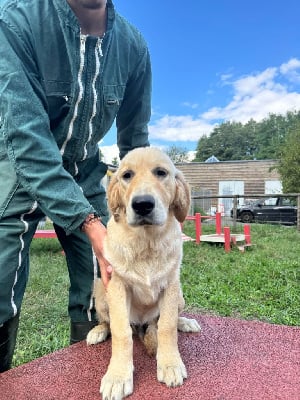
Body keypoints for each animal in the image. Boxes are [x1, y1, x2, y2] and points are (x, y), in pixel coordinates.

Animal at [86, 147, 199, 400]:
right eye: (127, 175)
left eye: (161, 173)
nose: (142, 205)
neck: (146, 241)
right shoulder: (117, 285)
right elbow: (120, 332)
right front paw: (117, 377)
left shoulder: (171, 284)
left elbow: (167, 326)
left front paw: (170, 364)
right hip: (100, 291)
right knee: (110, 323)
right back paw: (98, 331)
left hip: (180, 296)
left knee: (162, 321)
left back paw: (185, 322)